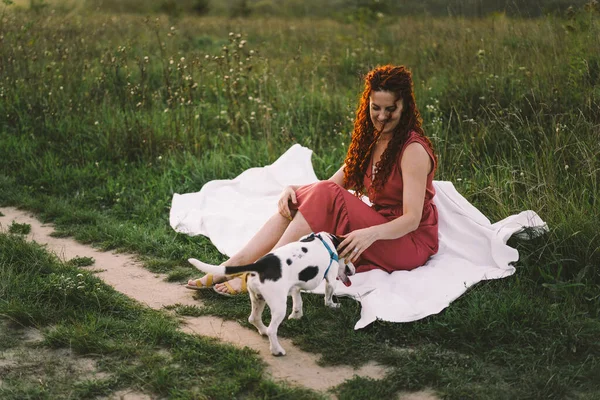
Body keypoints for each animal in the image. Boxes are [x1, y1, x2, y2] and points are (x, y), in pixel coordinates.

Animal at [190, 231, 354, 356]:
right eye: (351, 256)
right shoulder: (331, 279)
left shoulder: (295, 286)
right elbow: (328, 297)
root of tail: (259, 265)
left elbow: (298, 302)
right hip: (279, 306)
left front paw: (296, 315)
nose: (353, 269)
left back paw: (262, 330)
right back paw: (277, 350)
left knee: (253, 319)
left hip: (258, 299)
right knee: (271, 330)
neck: (327, 241)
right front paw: (333, 305)